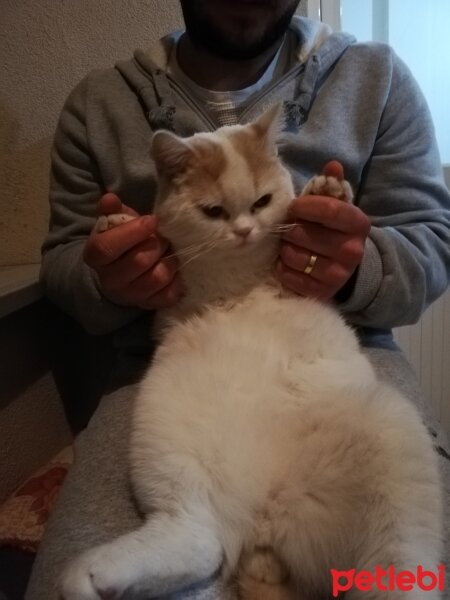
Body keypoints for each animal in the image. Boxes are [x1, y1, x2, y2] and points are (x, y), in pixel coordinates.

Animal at [59, 105, 442, 596]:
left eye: (262, 202)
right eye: (213, 211)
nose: (244, 230)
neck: (237, 281)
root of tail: (262, 517)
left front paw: (328, 189)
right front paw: (115, 224)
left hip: (392, 450)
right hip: (170, 444)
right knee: (199, 541)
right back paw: (86, 577)